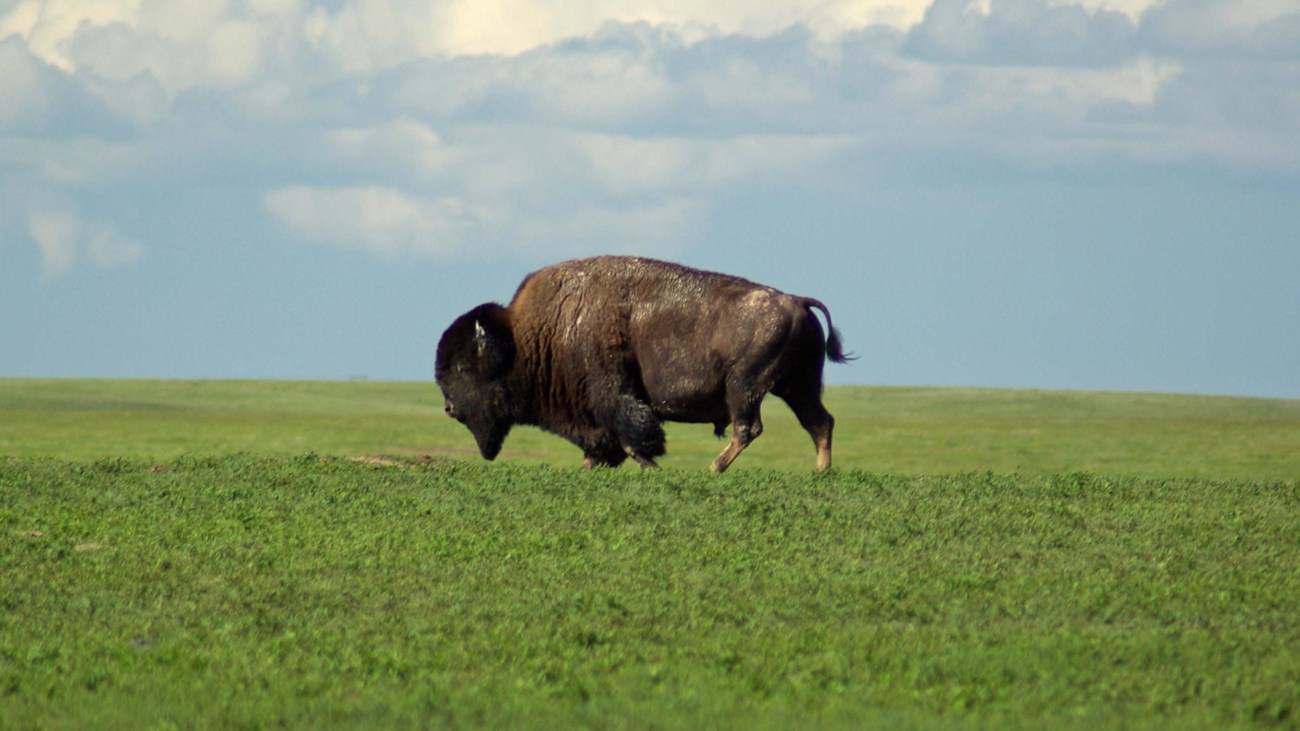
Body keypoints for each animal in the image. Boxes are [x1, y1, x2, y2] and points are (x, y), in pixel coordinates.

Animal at [434, 256, 852, 473]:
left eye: (463, 368)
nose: (449, 407)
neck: (526, 337)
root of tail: (796, 300)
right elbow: (602, 446)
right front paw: (589, 469)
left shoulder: (612, 394)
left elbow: (632, 436)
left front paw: (650, 467)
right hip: (797, 385)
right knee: (819, 423)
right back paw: (821, 473)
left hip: (745, 387)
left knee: (749, 428)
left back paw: (713, 469)